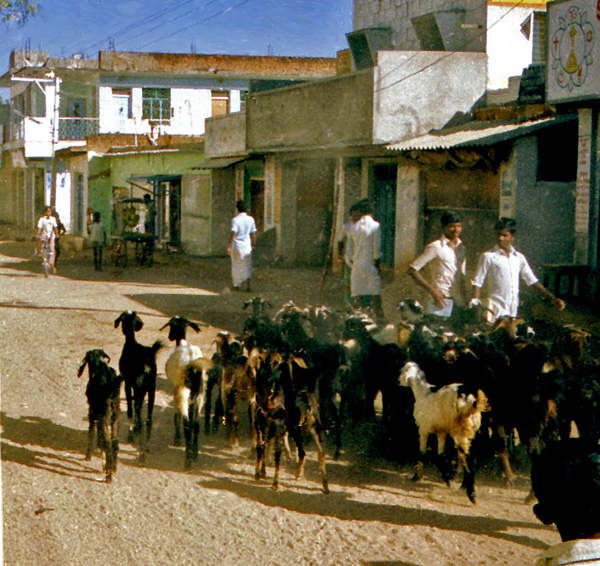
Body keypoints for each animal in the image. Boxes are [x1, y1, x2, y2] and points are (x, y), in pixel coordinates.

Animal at [78, 350, 123, 484]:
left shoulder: (92, 413)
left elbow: (91, 433)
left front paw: (88, 455)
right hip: (115, 417)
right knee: (115, 443)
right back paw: (113, 468)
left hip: (104, 417)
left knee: (108, 444)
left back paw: (108, 475)